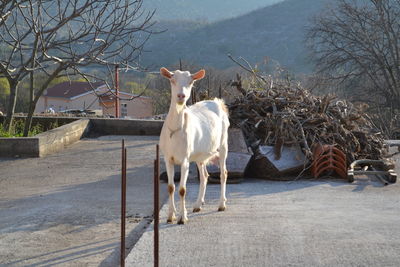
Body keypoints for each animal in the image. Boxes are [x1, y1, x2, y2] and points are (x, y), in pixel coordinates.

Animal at [159, 67, 230, 226]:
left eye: (191, 82)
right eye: (172, 80)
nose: (181, 95)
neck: (175, 131)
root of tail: (218, 103)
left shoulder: (184, 159)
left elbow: (182, 189)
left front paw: (182, 217)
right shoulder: (168, 158)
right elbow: (171, 187)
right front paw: (170, 216)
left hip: (223, 144)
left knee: (223, 173)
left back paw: (222, 204)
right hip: (200, 156)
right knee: (204, 176)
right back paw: (197, 205)